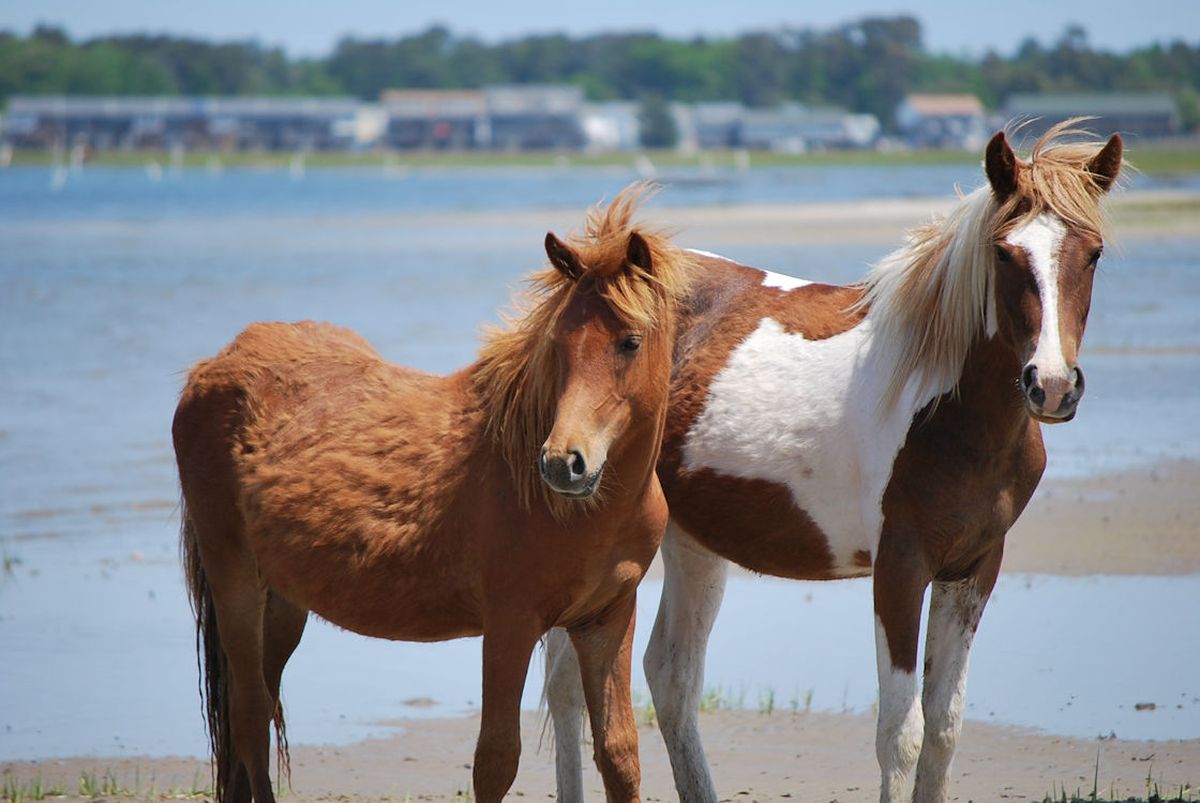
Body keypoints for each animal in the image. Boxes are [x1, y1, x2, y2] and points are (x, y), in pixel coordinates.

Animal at [173, 187, 688, 803]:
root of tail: (212, 367)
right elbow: (496, 760)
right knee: (250, 719)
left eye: (630, 342)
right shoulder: (511, 625)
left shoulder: (606, 620)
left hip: (284, 601)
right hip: (235, 582)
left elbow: (618, 754)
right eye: (559, 344)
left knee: (252, 713)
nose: (564, 463)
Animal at [545, 122, 1123, 802]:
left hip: (691, 542)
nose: (1052, 387)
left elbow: (945, 728)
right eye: (1006, 254)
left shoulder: (974, 568)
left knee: (671, 675)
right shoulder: (900, 569)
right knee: (567, 685)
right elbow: (901, 733)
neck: (944, 408)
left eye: (1093, 253)